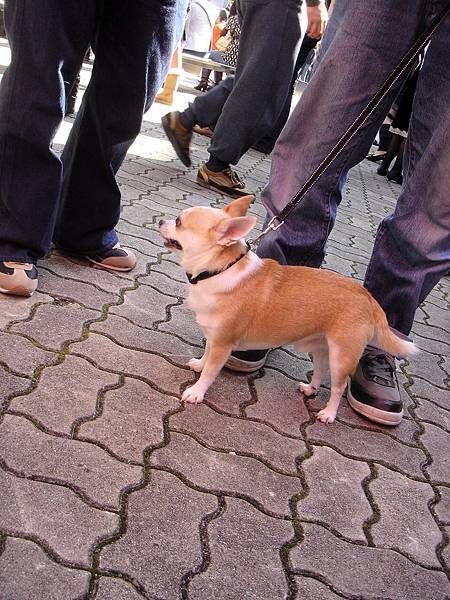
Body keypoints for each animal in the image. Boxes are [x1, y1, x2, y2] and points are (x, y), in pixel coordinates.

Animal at [159, 196, 418, 422]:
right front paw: (199, 364)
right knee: (320, 370)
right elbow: (206, 353)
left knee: (339, 386)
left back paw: (329, 413)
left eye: (179, 222)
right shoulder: (215, 336)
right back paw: (311, 389)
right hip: (322, 348)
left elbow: (211, 372)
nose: (162, 221)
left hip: (341, 356)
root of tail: (368, 297)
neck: (221, 269)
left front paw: (197, 391)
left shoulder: (223, 344)